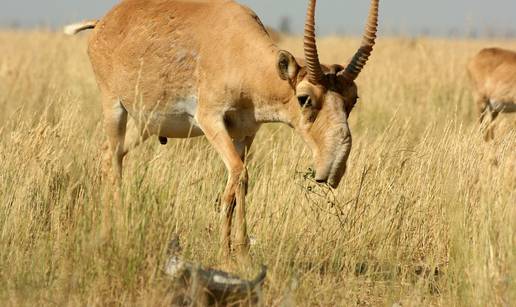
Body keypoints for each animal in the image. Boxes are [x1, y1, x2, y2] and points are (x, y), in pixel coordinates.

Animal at [65, 0, 378, 262]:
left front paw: (230, 251)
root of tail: (103, 22)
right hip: (113, 108)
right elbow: (240, 174)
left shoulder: (245, 133)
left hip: (145, 124)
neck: (238, 53)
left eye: (353, 99)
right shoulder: (211, 120)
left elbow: (236, 185)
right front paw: (237, 253)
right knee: (112, 161)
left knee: (110, 154)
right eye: (304, 98)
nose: (334, 168)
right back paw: (114, 232)